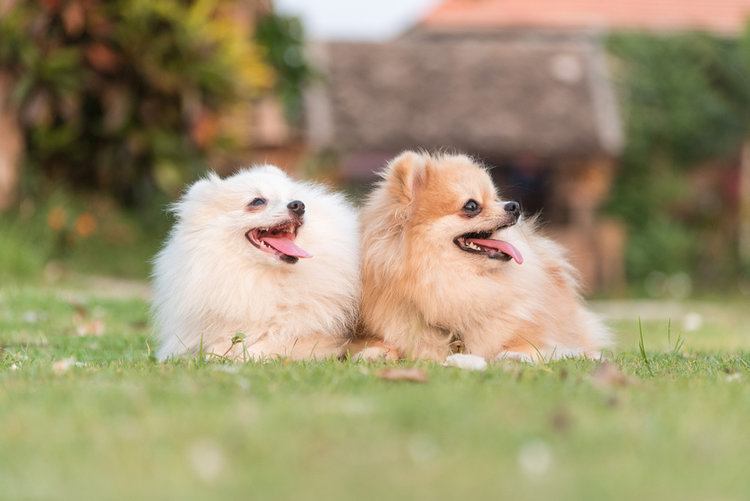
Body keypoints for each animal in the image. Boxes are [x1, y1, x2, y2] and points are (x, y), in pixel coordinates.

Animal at [151, 166, 360, 362]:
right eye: (257, 201)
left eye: (295, 197)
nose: (299, 205)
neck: (262, 277)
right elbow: (216, 346)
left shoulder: (315, 335)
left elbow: (266, 344)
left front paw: (240, 358)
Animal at [358, 150, 612, 362]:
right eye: (471, 206)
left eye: (496, 198)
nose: (514, 206)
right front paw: (375, 352)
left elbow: (527, 345)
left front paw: (514, 355)